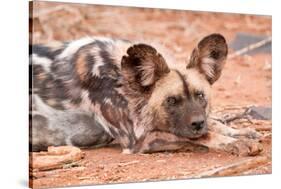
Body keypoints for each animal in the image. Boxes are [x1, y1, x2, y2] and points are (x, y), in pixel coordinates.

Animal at [29, 33, 262, 155]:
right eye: (171, 100)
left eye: (200, 96)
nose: (197, 123)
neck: (120, 78)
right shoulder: (138, 140)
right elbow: (202, 135)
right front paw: (232, 143)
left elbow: (213, 123)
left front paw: (240, 132)